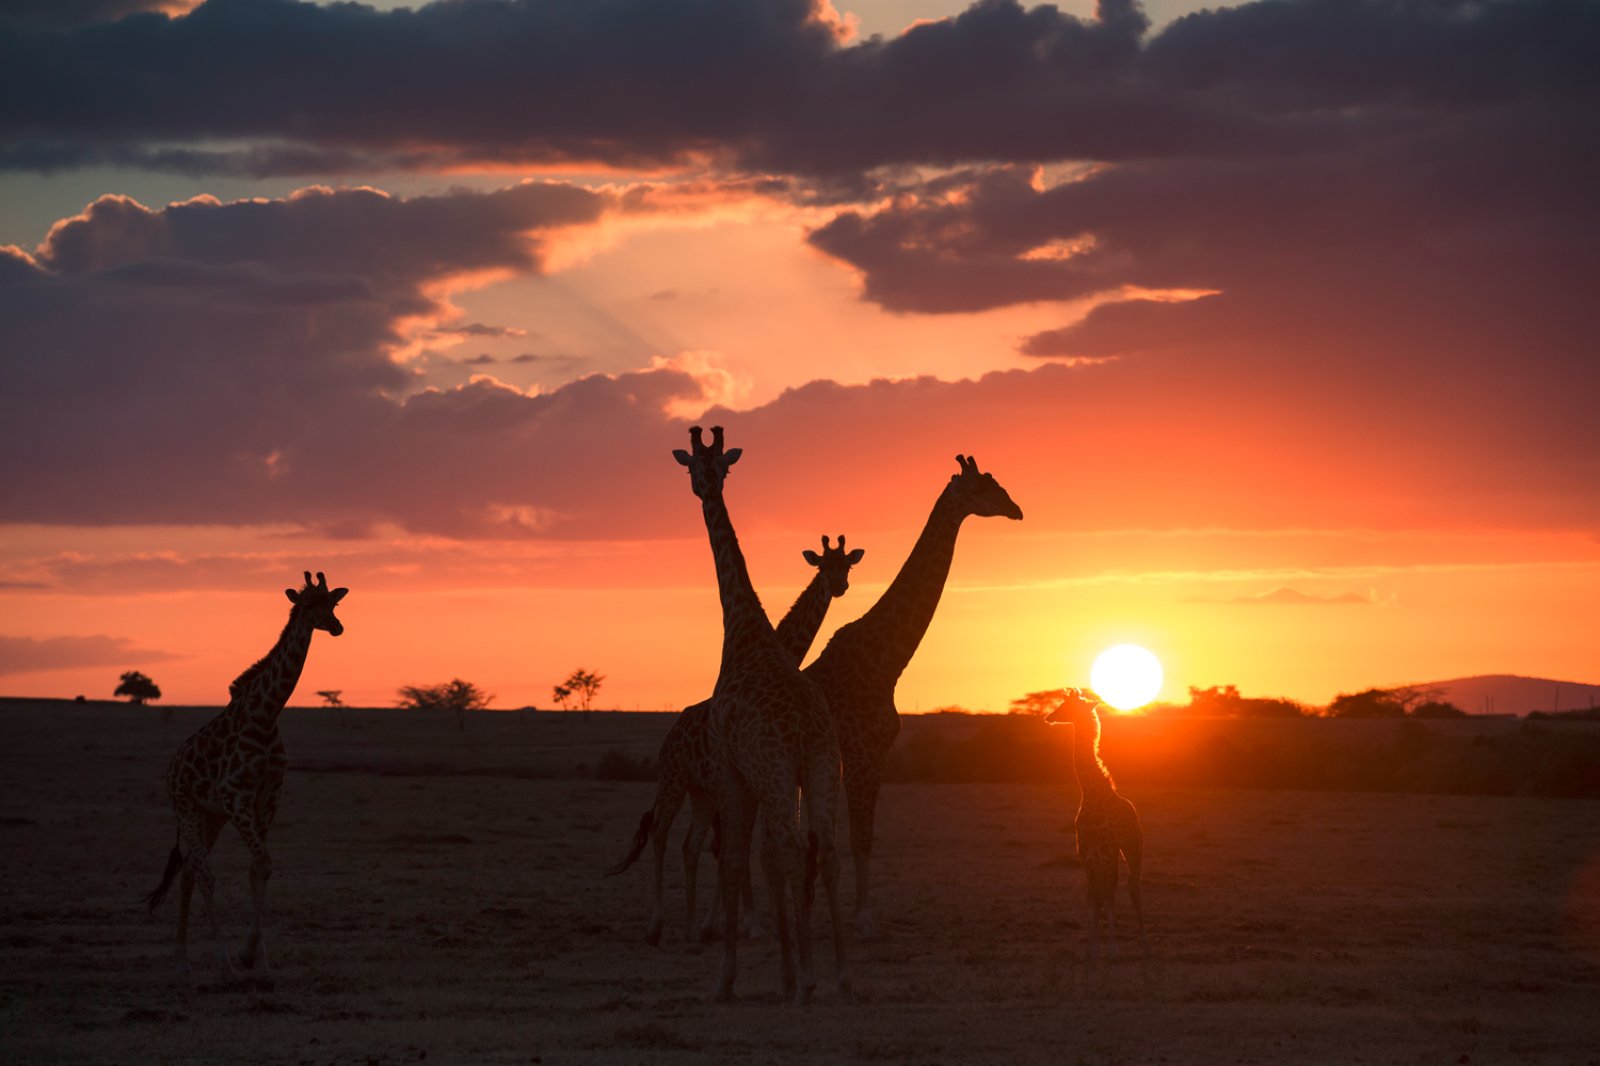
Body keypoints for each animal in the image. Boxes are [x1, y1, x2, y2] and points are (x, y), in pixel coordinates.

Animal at [141, 573, 350, 973]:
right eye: (307, 605)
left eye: (332, 603)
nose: (337, 627)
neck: (266, 716)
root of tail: (172, 767)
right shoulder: (236, 796)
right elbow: (261, 863)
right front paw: (243, 955)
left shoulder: (266, 800)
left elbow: (258, 868)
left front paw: (260, 960)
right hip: (188, 810)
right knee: (204, 873)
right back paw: (218, 960)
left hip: (211, 816)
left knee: (189, 871)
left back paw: (182, 958)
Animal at [608, 534, 864, 941]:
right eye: (823, 565)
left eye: (848, 566)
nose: (838, 586)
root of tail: (670, 735)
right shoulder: (749, 786)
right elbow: (740, 849)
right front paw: (751, 922)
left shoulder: (756, 786)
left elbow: (742, 848)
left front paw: (738, 921)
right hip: (672, 779)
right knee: (662, 835)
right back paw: (657, 923)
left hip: (703, 792)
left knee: (692, 845)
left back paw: (696, 924)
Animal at [672, 425, 851, 1005]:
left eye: (709, 466)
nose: (703, 486)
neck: (746, 632)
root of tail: (803, 729)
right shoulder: (763, 778)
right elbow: (760, 858)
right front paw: (788, 967)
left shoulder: (733, 768)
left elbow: (735, 860)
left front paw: (728, 977)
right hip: (821, 768)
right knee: (826, 850)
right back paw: (842, 975)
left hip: (775, 773)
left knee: (787, 850)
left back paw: (807, 976)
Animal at [800, 451, 1024, 934]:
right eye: (981, 488)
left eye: (998, 483)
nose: (1016, 509)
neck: (886, 663)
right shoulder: (861, 749)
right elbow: (859, 836)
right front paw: (863, 916)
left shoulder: (880, 750)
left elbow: (865, 835)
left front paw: (859, 913)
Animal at [1043, 685, 1145, 966]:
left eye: (1067, 706)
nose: (1049, 717)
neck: (1090, 791)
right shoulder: (1087, 850)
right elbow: (1093, 896)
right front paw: (1092, 951)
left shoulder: (1108, 849)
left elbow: (1108, 895)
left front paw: (1113, 951)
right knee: (1111, 889)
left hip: (1133, 848)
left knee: (1133, 888)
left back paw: (1146, 947)